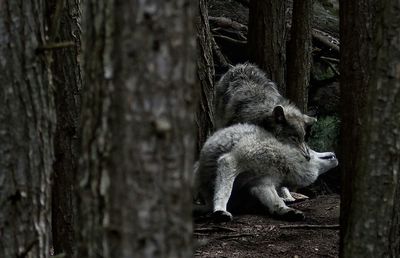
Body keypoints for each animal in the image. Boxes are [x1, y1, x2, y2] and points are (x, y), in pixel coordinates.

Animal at [194, 124, 338, 221]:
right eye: (311, 150)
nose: (334, 153)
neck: (283, 160)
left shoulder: (262, 184)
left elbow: (277, 202)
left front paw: (289, 212)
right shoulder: (229, 161)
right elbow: (224, 192)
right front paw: (220, 211)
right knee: (207, 203)